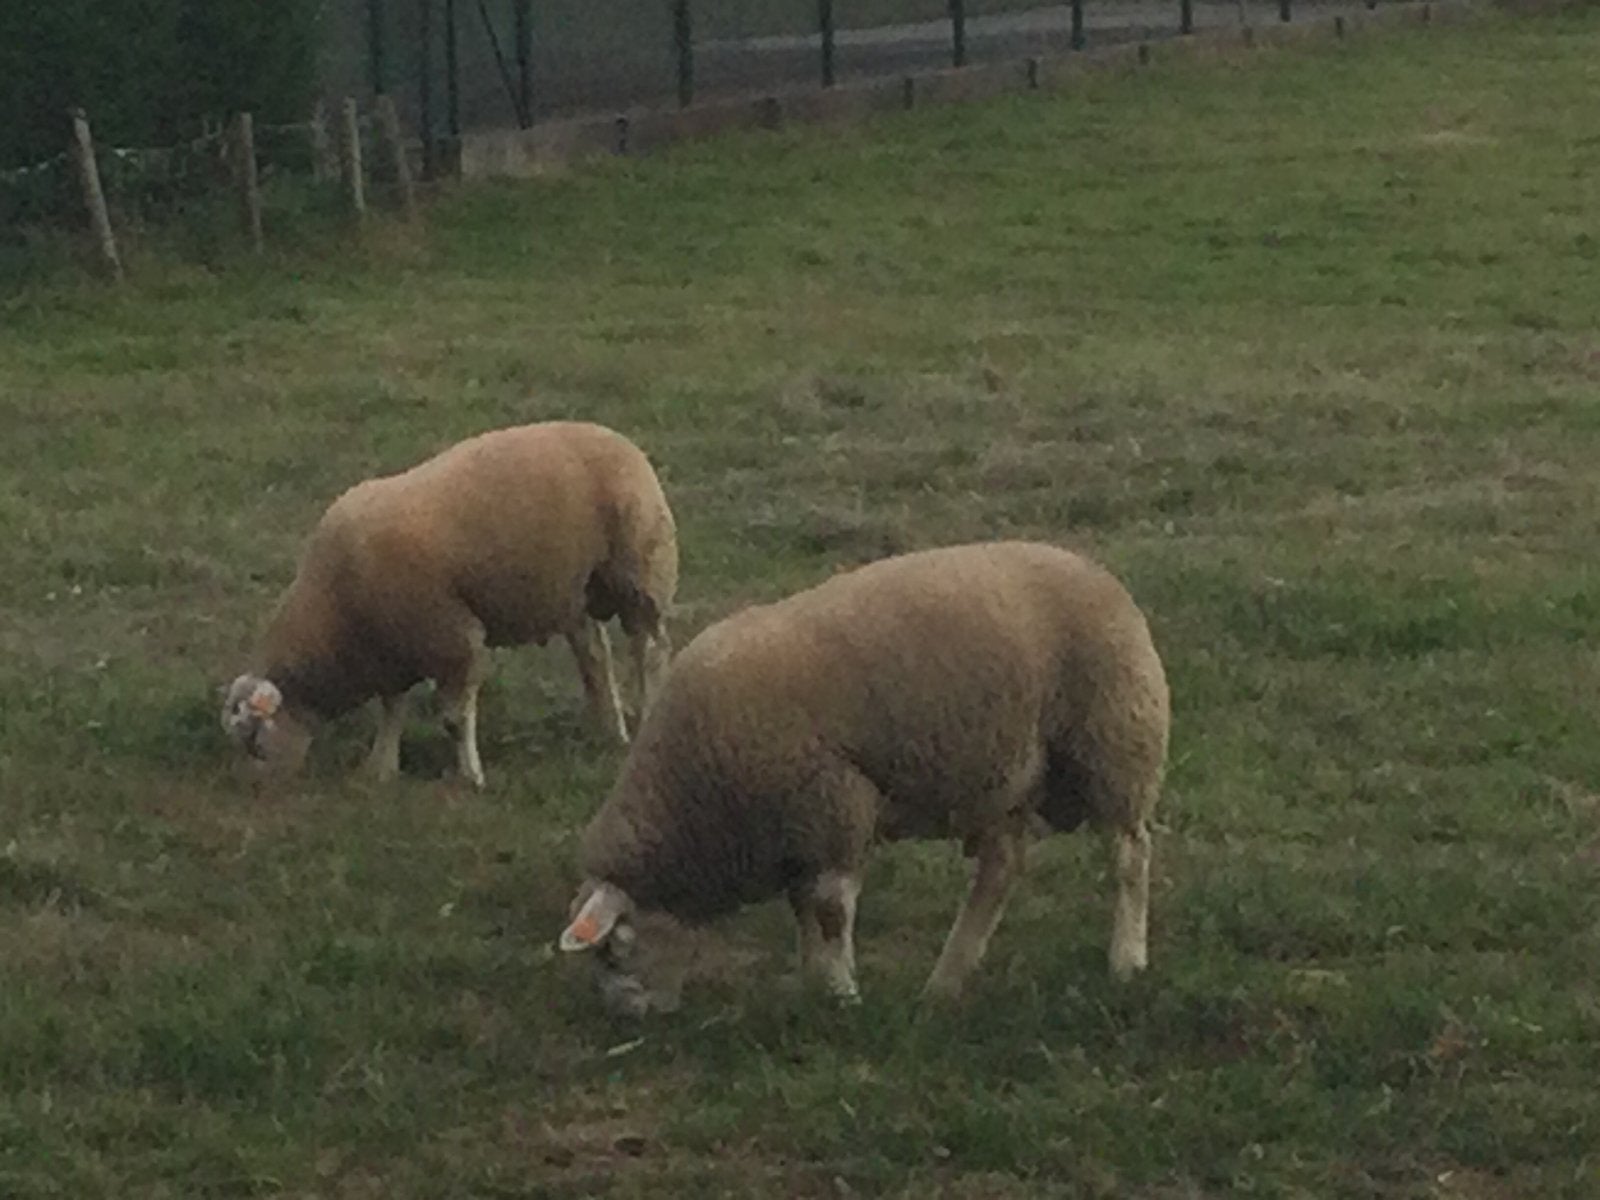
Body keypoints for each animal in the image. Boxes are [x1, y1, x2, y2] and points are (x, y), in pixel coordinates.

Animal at [221, 420, 678, 788]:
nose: (252, 786)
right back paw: (608, 730)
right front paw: (381, 767)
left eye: (254, 741)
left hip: (640, 571)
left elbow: (455, 720)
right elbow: (393, 708)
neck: (336, 611)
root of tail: (619, 440)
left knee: (650, 651)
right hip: (574, 590)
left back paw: (645, 719)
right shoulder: (393, 651)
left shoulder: (454, 639)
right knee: (594, 658)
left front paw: (470, 776)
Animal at [558, 540, 1169, 1015]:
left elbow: (830, 910)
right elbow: (804, 912)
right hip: (1004, 778)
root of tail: (1100, 575)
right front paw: (816, 985)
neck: (693, 794)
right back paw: (946, 981)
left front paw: (842, 995)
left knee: (1129, 855)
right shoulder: (798, 832)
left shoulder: (832, 806)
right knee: (999, 869)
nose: (625, 1018)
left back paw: (1127, 959)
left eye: (614, 950)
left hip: (1114, 740)